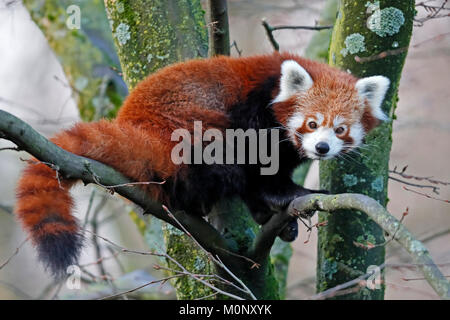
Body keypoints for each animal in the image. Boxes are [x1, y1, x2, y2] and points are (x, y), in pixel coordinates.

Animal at [14, 51, 390, 276]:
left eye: (340, 129)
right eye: (311, 123)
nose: (322, 148)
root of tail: (135, 126)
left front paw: (271, 213)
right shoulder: (254, 112)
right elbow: (259, 167)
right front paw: (286, 196)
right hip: (191, 135)